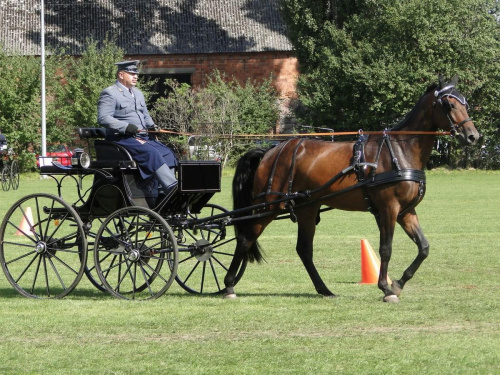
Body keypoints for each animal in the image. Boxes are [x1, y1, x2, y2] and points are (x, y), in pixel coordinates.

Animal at [225, 75, 478, 302]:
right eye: (450, 104)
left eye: (465, 103)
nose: (473, 136)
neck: (400, 150)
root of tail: (270, 150)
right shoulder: (389, 209)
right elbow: (386, 248)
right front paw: (386, 288)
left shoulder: (406, 212)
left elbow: (423, 247)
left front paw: (398, 283)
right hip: (267, 206)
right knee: (245, 239)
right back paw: (228, 286)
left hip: (307, 208)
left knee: (304, 249)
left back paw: (324, 289)